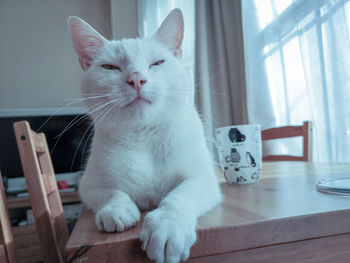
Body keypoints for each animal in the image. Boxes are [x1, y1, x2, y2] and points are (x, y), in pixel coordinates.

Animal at [68, 8, 221, 263]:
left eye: (157, 63)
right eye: (110, 67)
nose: (137, 79)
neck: (144, 136)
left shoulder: (202, 179)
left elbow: (179, 196)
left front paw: (167, 227)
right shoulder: (88, 185)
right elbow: (111, 192)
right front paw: (117, 210)